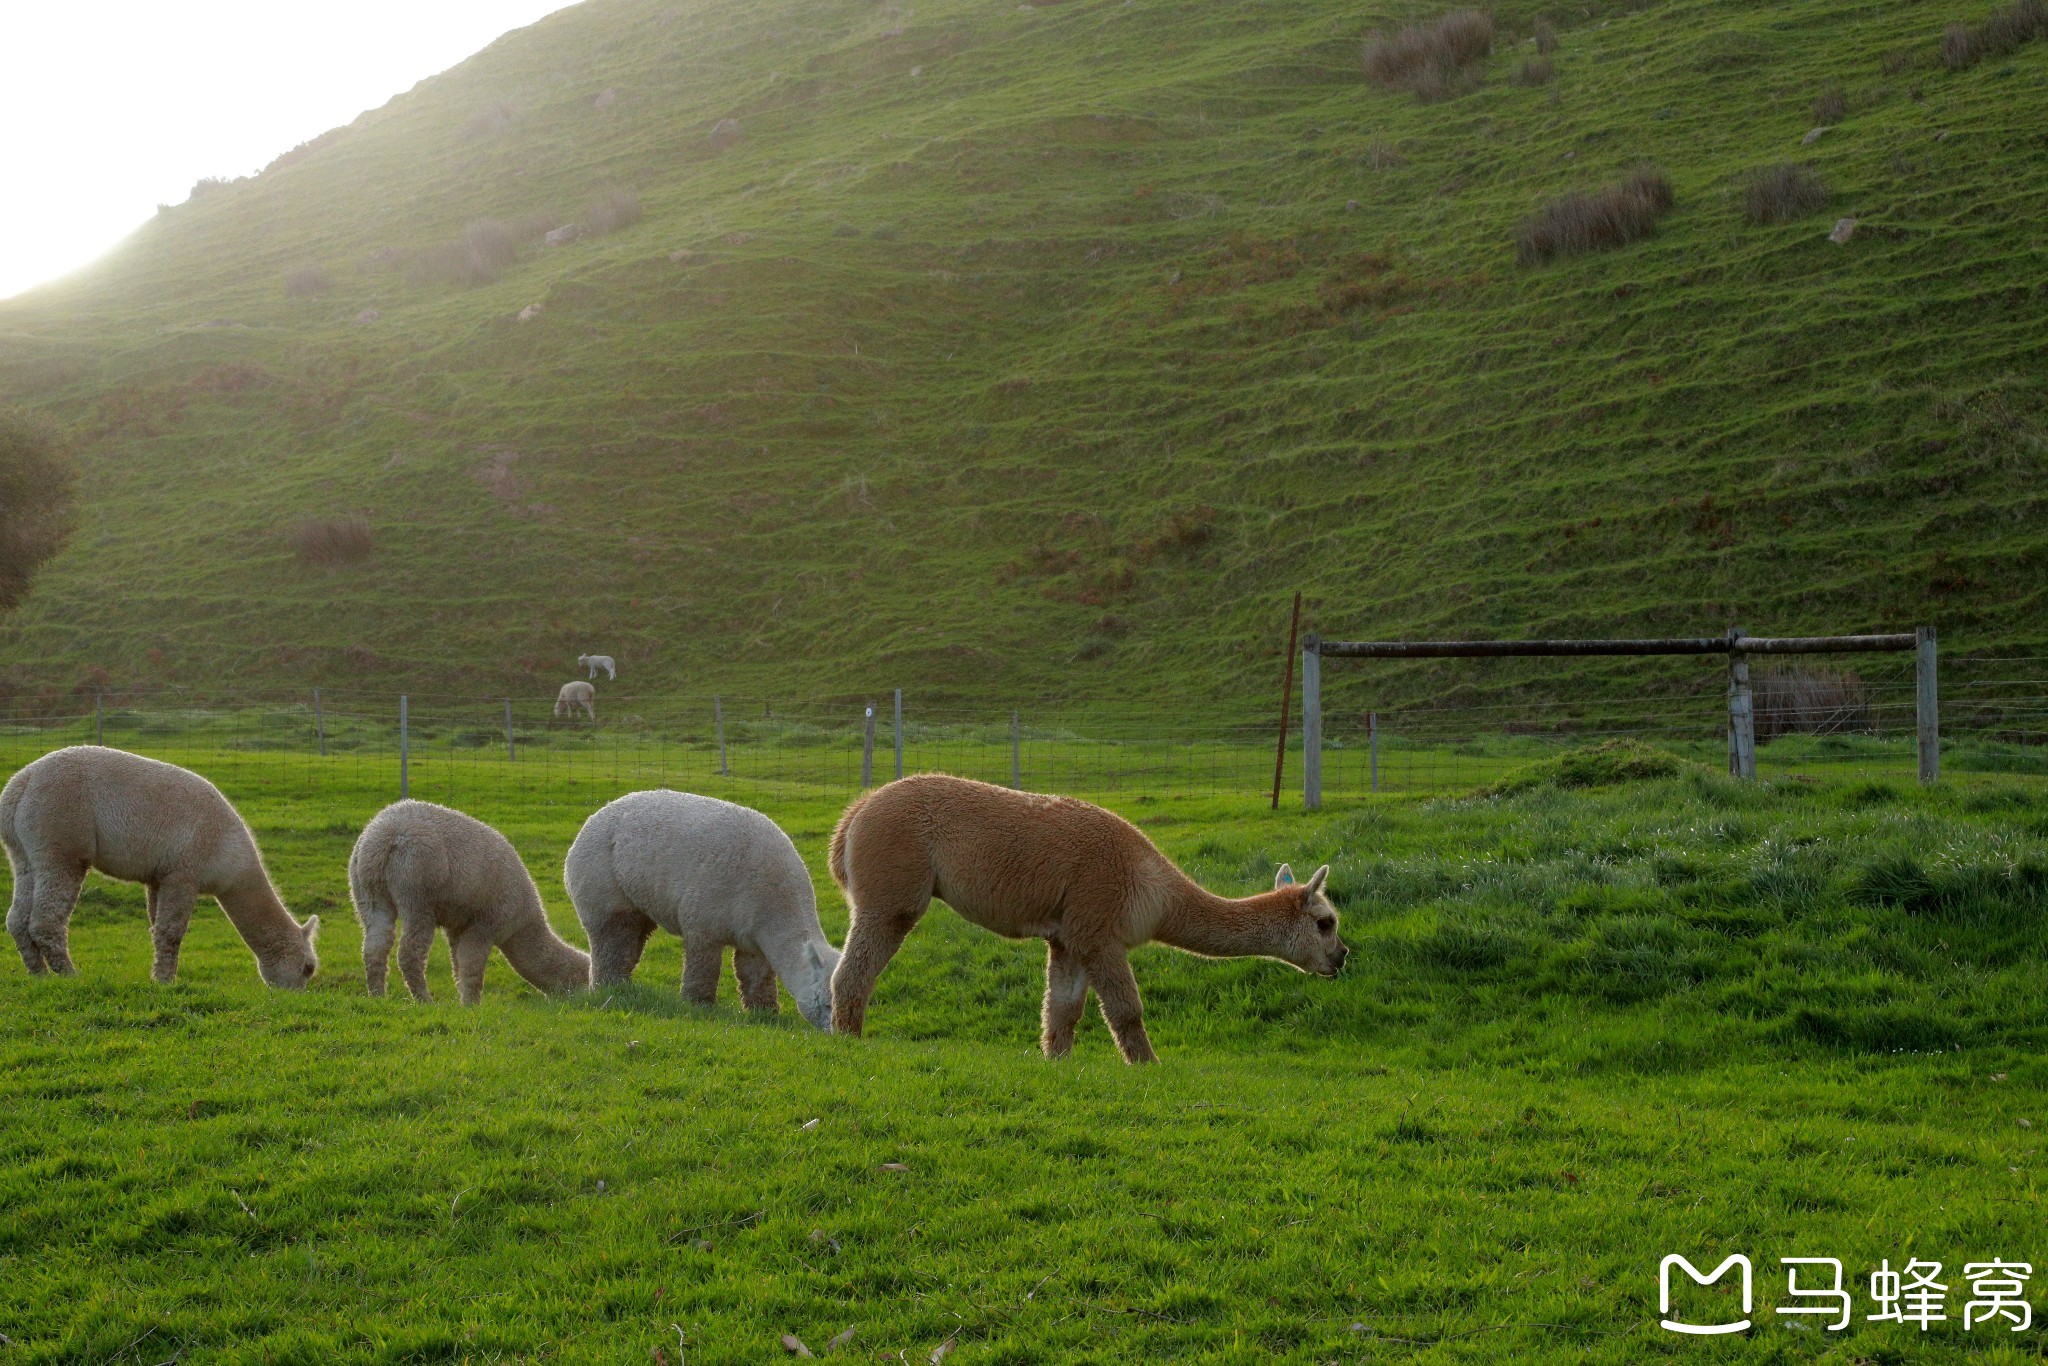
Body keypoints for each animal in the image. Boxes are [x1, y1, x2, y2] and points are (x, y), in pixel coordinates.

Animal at [2, 741, 317, 987]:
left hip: (24, 855)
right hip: (59, 842)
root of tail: (20, 785)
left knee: (17, 919)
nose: (295, 997)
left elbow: (156, 929)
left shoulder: (158, 877)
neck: (230, 859)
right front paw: (167, 982)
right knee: (45, 920)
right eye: (308, 968)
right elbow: (171, 933)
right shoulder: (183, 874)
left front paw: (157, 978)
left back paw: (39, 975)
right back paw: (69, 976)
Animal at [348, 802, 589, 1003]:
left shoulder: (458, 924)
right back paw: (424, 1000)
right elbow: (472, 965)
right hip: (417, 891)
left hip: (367, 893)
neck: (520, 924)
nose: (585, 999)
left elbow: (458, 964)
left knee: (374, 947)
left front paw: (463, 998)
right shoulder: (486, 923)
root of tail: (383, 837)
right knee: (410, 953)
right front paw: (472, 1005)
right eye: (583, 979)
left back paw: (378, 996)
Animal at [565, 786, 835, 1032]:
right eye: (828, 1004)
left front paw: (764, 1012)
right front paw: (698, 1005)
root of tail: (593, 818)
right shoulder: (703, 922)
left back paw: (622, 986)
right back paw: (607, 989)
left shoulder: (752, 939)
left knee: (628, 943)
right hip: (602, 890)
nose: (838, 1034)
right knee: (609, 942)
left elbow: (755, 977)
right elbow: (702, 969)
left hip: (636, 904)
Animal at [823, 774, 1351, 1064]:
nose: (1344, 956)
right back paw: (849, 1041)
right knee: (853, 969)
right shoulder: (1100, 931)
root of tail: (854, 813)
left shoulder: (1069, 936)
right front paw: (1149, 1067)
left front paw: (1057, 1064)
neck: (1156, 892)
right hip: (892, 890)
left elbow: (1062, 1011)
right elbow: (1126, 1011)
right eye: (1326, 923)